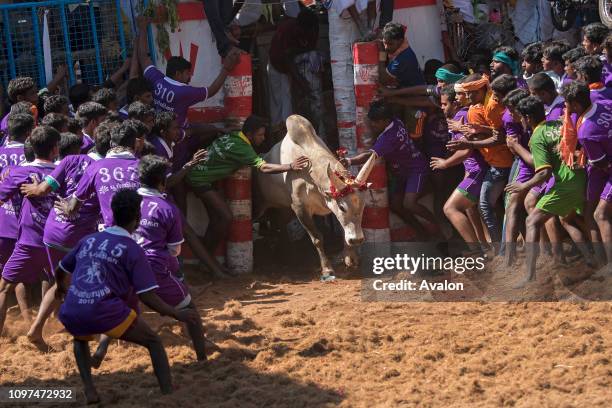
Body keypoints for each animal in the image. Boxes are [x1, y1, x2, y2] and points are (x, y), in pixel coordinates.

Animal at [255, 115, 378, 280]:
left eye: (363, 205)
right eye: (342, 207)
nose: (357, 239)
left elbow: (343, 230)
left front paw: (351, 259)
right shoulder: (300, 208)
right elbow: (317, 238)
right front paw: (327, 269)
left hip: (283, 210)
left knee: (278, 224)